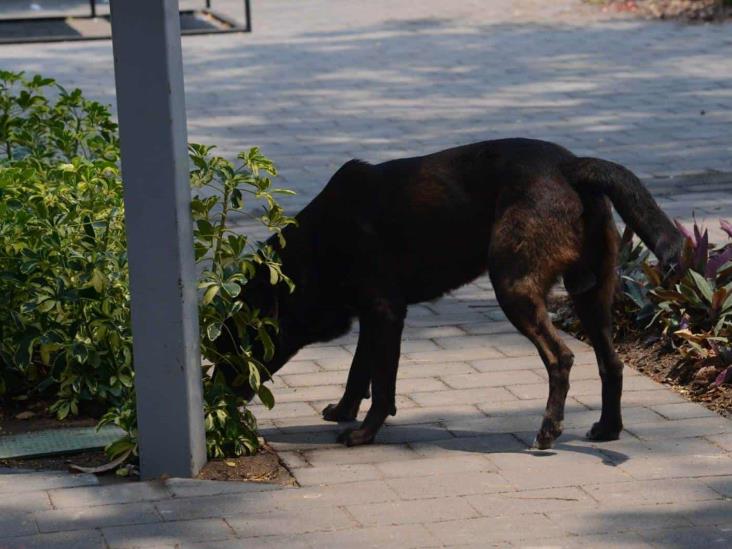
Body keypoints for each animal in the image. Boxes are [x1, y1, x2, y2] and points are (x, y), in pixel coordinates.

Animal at [220, 138, 684, 450]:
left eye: (232, 346)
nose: (219, 395)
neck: (315, 248)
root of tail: (570, 166)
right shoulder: (374, 316)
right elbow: (358, 370)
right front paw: (344, 411)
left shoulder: (385, 312)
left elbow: (382, 384)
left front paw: (365, 432)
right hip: (592, 295)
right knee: (612, 362)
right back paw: (608, 429)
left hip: (513, 286)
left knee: (561, 357)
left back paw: (549, 429)